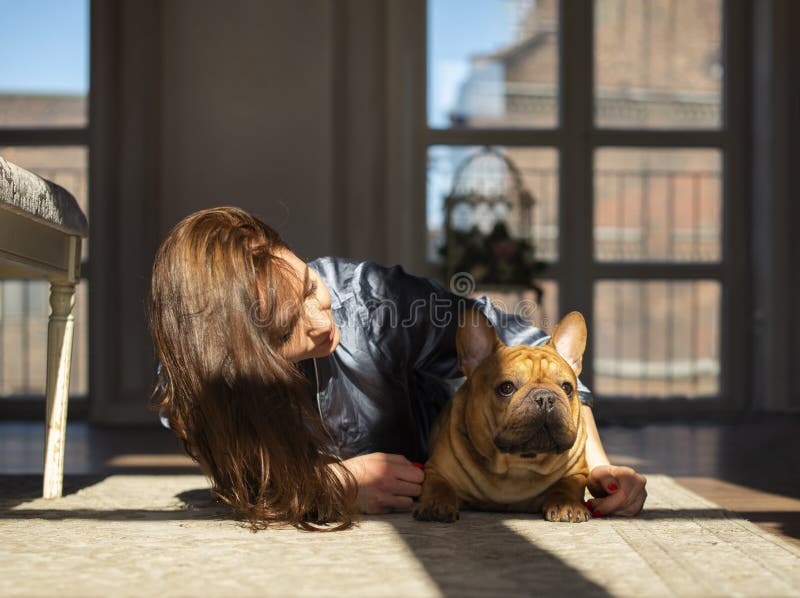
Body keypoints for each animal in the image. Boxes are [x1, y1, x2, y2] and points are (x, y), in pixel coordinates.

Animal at [416, 312, 592, 524]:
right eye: (506, 388)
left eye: (567, 388)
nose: (545, 398)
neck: (519, 463)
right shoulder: (436, 470)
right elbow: (439, 486)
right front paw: (436, 505)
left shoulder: (577, 472)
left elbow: (568, 484)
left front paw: (568, 504)